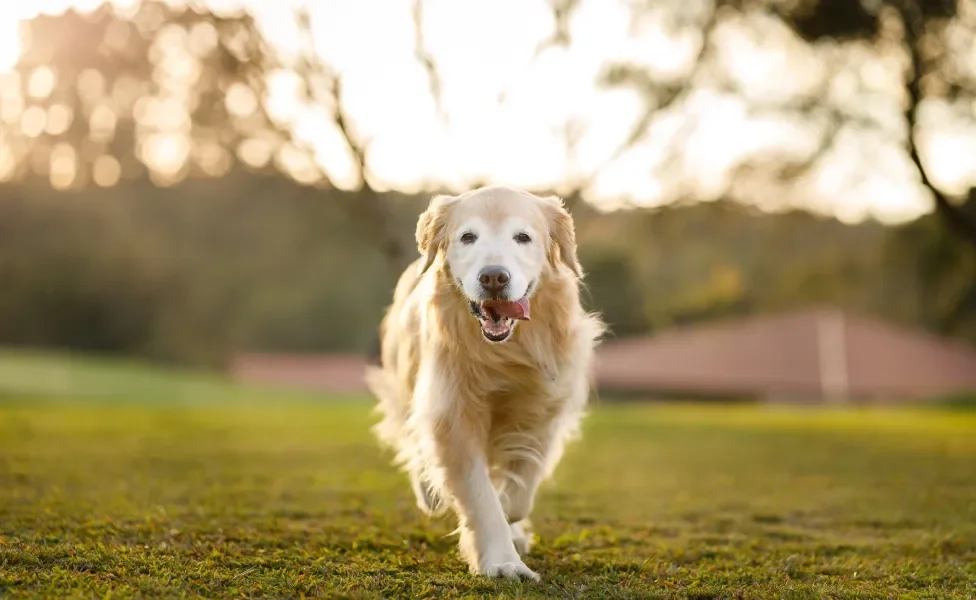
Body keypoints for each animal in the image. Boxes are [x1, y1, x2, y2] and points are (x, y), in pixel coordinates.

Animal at [366, 185, 608, 580]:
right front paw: (503, 561)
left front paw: (510, 521)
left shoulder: (545, 407)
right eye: (468, 237)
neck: (503, 352)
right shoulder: (451, 411)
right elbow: (480, 495)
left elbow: (521, 487)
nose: (494, 277)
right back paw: (429, 492)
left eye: (522, 237)